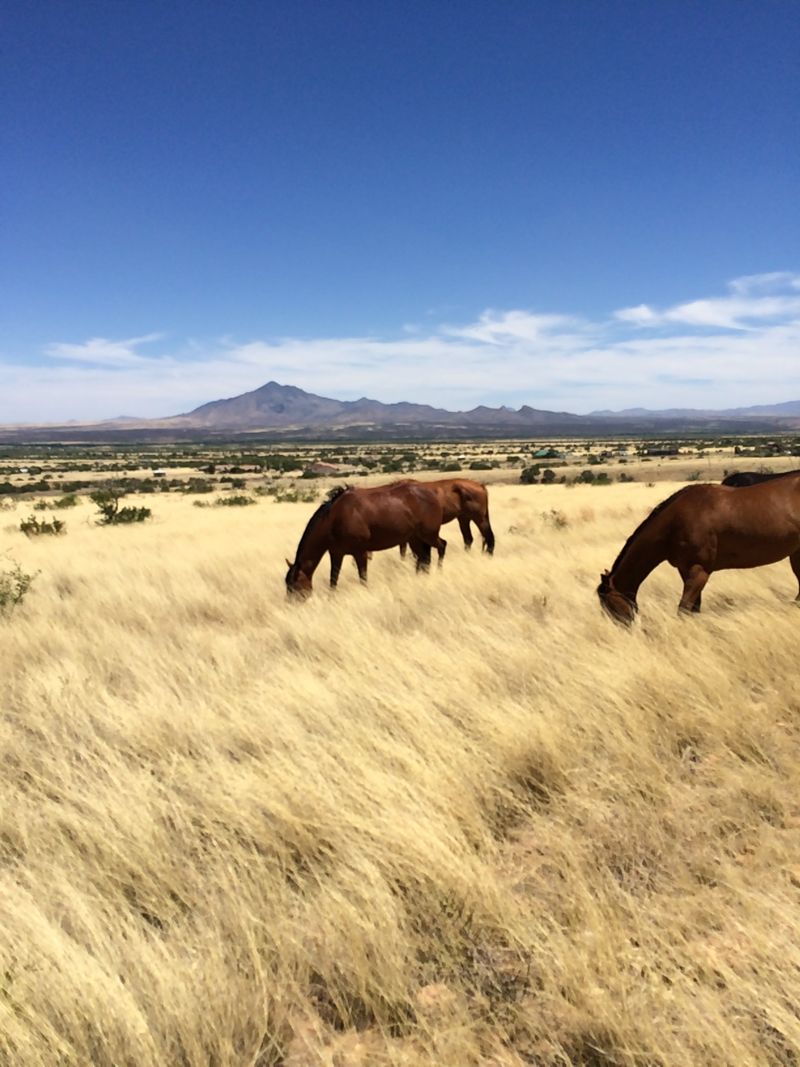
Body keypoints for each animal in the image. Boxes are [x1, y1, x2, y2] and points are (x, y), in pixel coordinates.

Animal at [285, 486, 445, 597]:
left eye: (294, 586)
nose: (291, 606)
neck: (335, 518)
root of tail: (432, 495)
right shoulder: (336, 554)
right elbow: (333, 580)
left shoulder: (360, 553)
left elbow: (363, 578)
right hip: (415, 539)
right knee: (423, 559)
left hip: (429, 535)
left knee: (442, 546)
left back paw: (439, 571)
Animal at [597, 478, 800, 623]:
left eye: (609, 605)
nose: (625, 629)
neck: (675, 522)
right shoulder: (685, 570)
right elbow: (694, 609)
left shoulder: (699, 570)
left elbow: (684, 609)